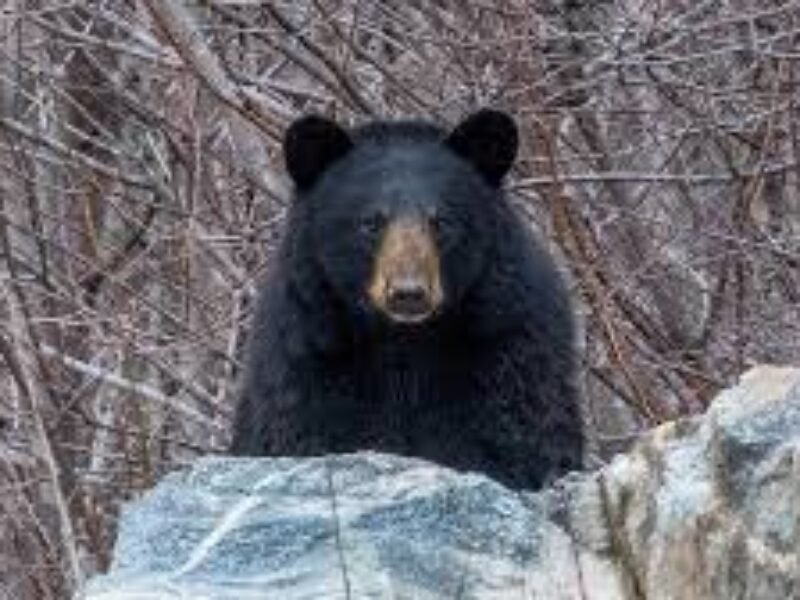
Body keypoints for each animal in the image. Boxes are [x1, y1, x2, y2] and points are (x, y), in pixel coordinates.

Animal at [231, 109, 583, 490]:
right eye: (370, 222)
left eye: (441, 221)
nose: (408, 293)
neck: (404, 343)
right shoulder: (310, 359)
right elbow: (304, 434)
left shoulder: (508, 353)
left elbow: (515, 440)